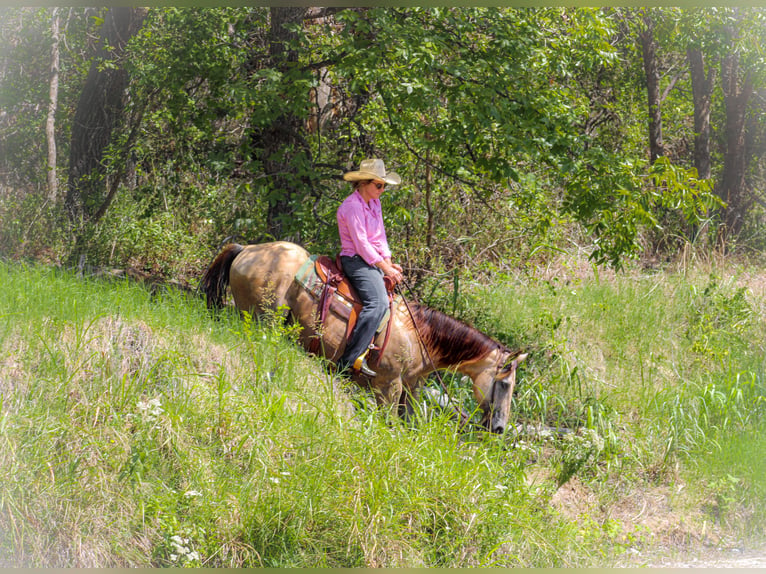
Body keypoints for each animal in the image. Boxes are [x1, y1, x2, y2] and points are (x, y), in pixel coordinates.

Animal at [201, 241, 528, 434]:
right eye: (505, 383)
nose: (500, 428)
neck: (418, 337)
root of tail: (248, 249)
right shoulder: (388, 386)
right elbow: (388, 423)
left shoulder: (411, 389)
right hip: (260, 320)